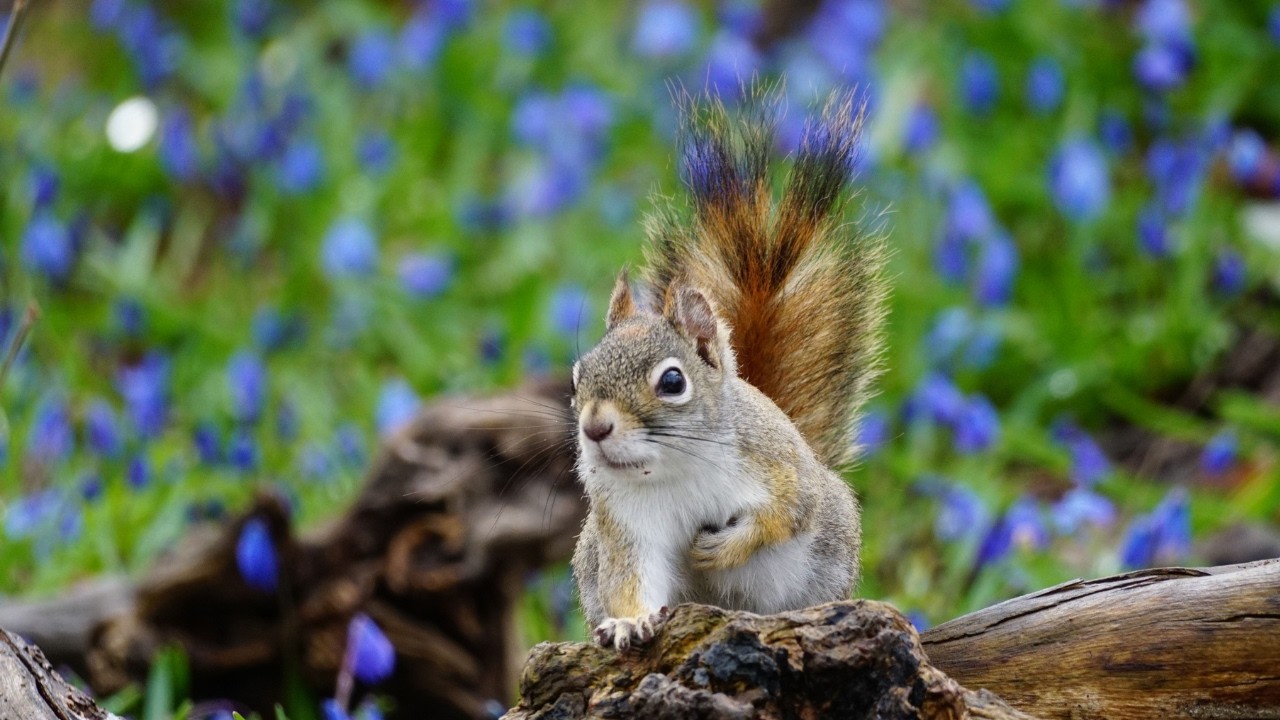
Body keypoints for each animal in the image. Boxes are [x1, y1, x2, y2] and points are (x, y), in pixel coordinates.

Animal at [569, 93, 887, 650]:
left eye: (673, 381)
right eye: (577, 377)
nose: (595, 427)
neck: (676, 467)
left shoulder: (781, 471)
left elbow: (782, 517)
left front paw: (724, 549)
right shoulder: (626, 526)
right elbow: (631, 579)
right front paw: (629, 621)